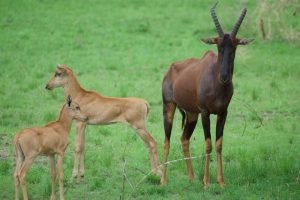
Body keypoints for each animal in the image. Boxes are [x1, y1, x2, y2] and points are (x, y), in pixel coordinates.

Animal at [159, 2, 253, 188]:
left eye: (234, 46)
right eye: (218, 46)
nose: (224, 77)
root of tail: (171, 69)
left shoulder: (223, 113)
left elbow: (219, 144)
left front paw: (221, 181)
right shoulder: (205, 113)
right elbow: (208, 144)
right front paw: (207, 182)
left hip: (191, 114)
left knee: (184, 139)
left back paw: (191, 177)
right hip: (169, 107)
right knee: (166, 141)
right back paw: (163, 180)